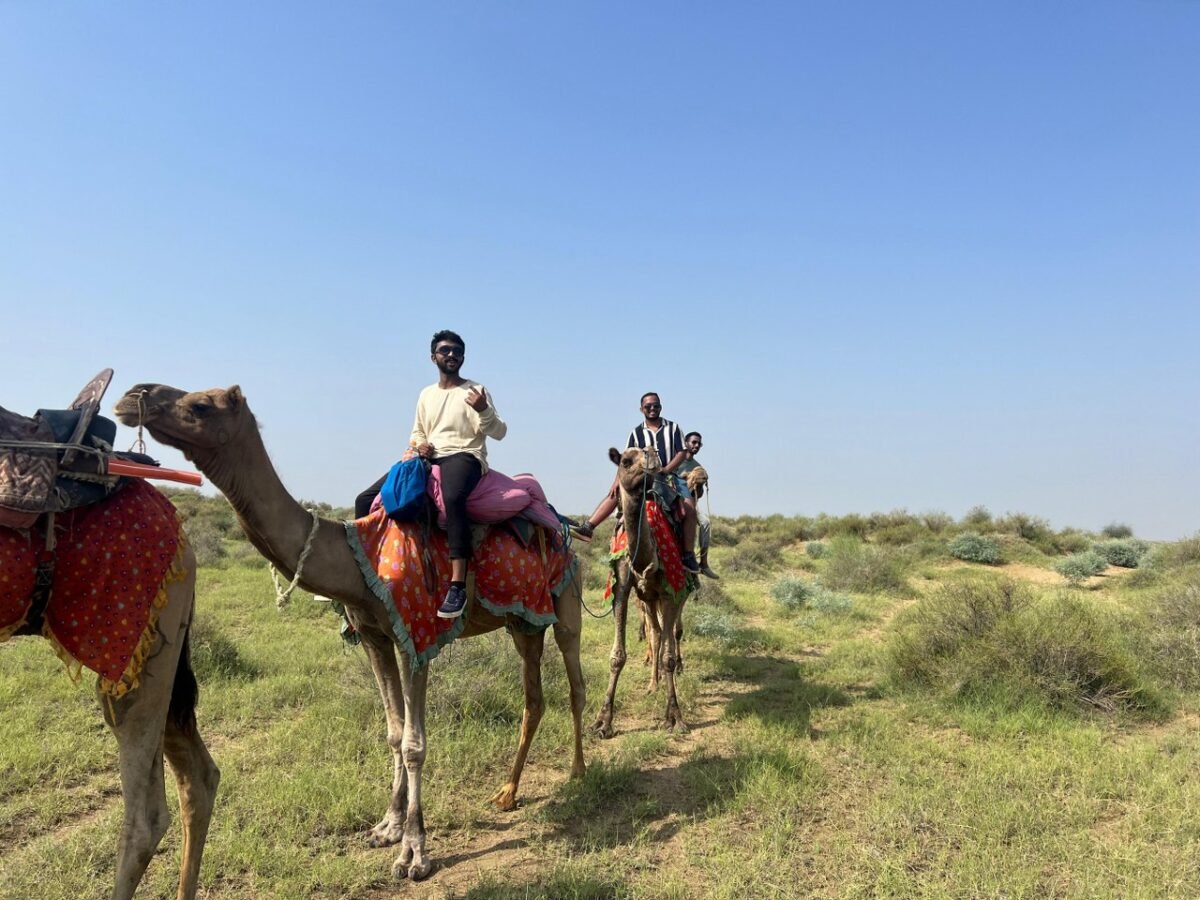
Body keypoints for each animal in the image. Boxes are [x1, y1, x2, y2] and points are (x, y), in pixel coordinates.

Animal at [113, 383, 587, 882]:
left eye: (201, 405)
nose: (133, 395)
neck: (359, 559)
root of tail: (564, 529)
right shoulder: (376, 636)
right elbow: (394, 733)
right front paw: (388, 828)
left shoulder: (417, 638)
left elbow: (415, 743)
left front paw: (414, 854)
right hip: (522, 621)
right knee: (533, 698)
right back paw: (507, 792)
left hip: (566, 599)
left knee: (574, 680)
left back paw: (578, 770)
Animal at [592, 445, 693, 738]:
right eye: (626, 461)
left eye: (652, 451)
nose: (651, 455)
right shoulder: (624, 588)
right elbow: (617, 656)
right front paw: (602, 722)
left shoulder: (671, 593)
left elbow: (669, 656)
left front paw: (675, 717)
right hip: (647, 598)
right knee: (657, 633)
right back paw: (653, 684)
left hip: (677, 591)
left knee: (673, 632)